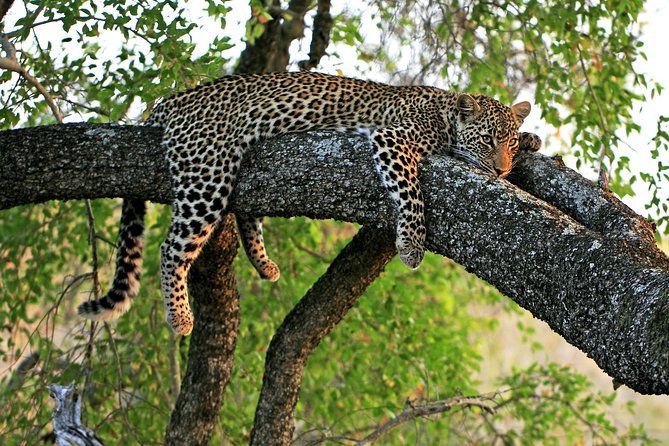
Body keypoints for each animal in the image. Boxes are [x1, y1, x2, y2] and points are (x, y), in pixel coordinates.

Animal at [77, 70, 536, 334]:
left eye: (508, 143)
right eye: (487, 139)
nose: (500, 171)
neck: (445, 112)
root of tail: (171, 100)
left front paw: (533, 139)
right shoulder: (393, 140)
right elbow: (411, 192)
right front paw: (411, 245)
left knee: (244, 212)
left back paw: (264, 263)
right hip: (207, 172)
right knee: (172, 247)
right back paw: (180, 316)